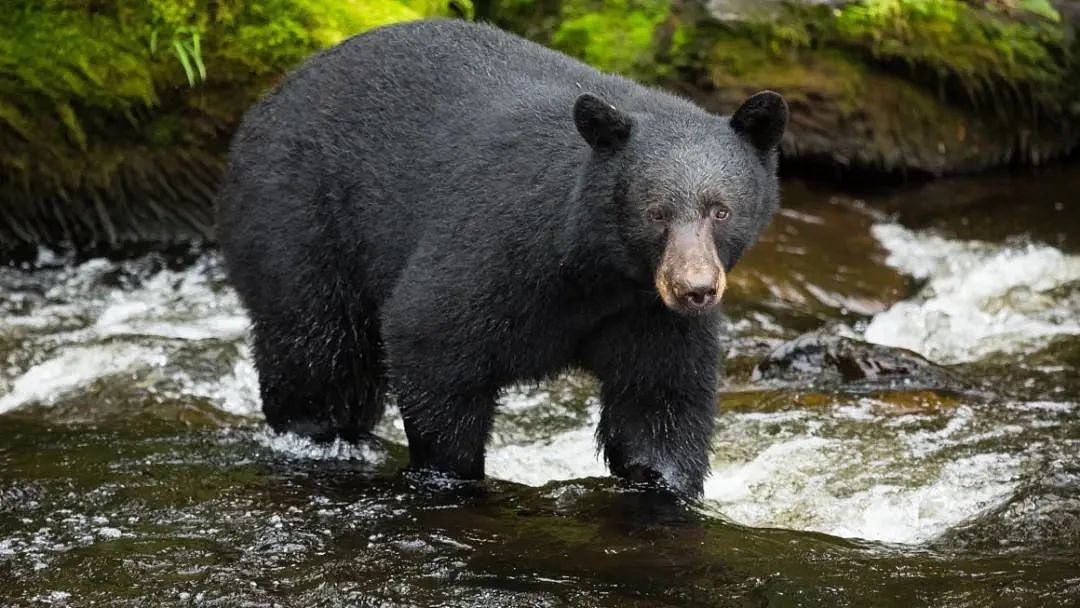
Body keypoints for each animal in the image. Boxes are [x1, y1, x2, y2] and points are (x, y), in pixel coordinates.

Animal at [219, 19, 790, 496]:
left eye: (721, 210)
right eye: (656, 213)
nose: (694, 289)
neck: (596, 270)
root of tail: (270, 98)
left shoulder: (647, 314)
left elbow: (659, 401)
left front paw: (664, 483)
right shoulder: (497, 247)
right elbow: (430, 336)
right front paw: (452, 473)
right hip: (300, 219)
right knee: (318, 349)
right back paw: (324, 436)